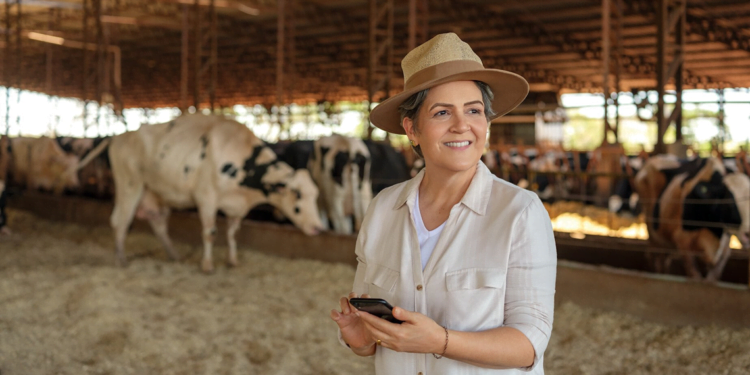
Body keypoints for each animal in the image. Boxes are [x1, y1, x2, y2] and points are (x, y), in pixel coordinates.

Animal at [83, 114, 324, 274]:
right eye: (297, 194)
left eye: (315, 195)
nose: (318, 228)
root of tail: (118, 137)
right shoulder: (206, 197)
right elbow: (210, 232)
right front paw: (207, 265)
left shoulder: (236, 207)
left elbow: (232, 234)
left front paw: (232, 260)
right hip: (130, 185)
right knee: (120, 220)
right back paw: (121, 259)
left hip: (154, 193)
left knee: (158, 224)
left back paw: (174, 255)